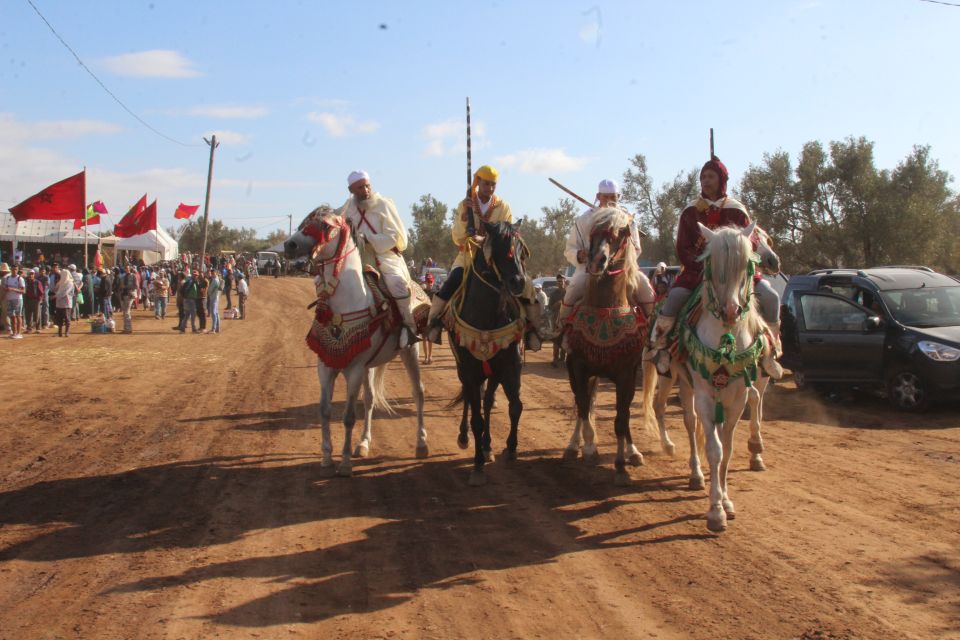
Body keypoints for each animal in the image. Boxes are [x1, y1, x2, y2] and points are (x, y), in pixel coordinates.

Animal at [282, 205, 424, 476]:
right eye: (303, 222)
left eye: (325, 225)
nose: (289, 245)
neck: (347, 302)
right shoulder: (326, 366)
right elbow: (325, 410)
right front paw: (327, 456)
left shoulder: (354, 369)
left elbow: (348, 415)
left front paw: (345, 462)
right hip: (371, 365)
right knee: (369, 401)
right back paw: (363, 443)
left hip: (410, 352)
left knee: (418, 393)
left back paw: (422, 443)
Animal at [446, 219, 528, 484]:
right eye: (499, 247)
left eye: (521, 249)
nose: (518, 282)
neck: (487, 318)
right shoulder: (471, 372)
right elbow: (476, 419)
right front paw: (477, 465)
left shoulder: (510, 367)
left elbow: (515, 407)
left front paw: (511, 448)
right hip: (465, 370)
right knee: (470, 402)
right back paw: (465, 438)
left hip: (492, 372)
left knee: (488, 401)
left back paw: (488, 445)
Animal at [564, 208, 652, 482]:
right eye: (592, 233)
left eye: (620, 234)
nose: (596, 261)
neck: (605, 308)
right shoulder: (578, 367)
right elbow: (583, 407)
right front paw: (588, 446)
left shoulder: (626, 373)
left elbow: (621, 418)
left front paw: (621, 462)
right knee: (583, 405)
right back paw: (574, 446)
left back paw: (634, 453)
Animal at [640, 222, 776, 532]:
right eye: (713, 264)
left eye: (746, 264)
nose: (730, 310)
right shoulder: (704, 394)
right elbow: (714, 449)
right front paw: (715, 511)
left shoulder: (738, 395)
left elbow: (728, 447)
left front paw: (726, 500)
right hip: (676, 379)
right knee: (681, 418)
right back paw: (691, 469)